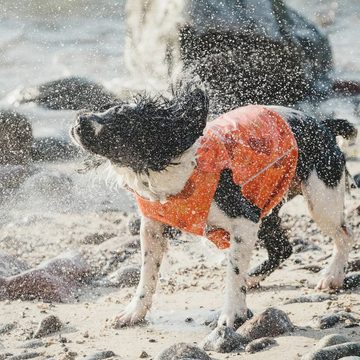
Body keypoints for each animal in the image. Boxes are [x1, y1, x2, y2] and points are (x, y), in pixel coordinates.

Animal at [70, 83, 358, 330]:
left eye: (120, 123)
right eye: (105, 109)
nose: (78, 120)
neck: (172, 168)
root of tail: (322, 124)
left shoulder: (244, 218)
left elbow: (233, 272)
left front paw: (231, 316)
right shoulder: (152, 227)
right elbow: (147, 274)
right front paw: (133, 313)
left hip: (321, 198)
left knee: (344, 235)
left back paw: (332, 276)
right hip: (268, 203)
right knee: (282, 248)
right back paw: (254, 277)